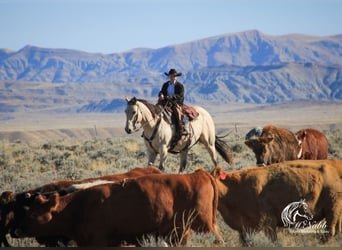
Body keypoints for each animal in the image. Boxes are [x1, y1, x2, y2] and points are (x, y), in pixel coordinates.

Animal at [211, 159, 342, 245]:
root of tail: (335, 162)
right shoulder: (244, 228)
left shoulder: (268, 222)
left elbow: (273, 241)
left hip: (333, 208)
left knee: (330, 231)